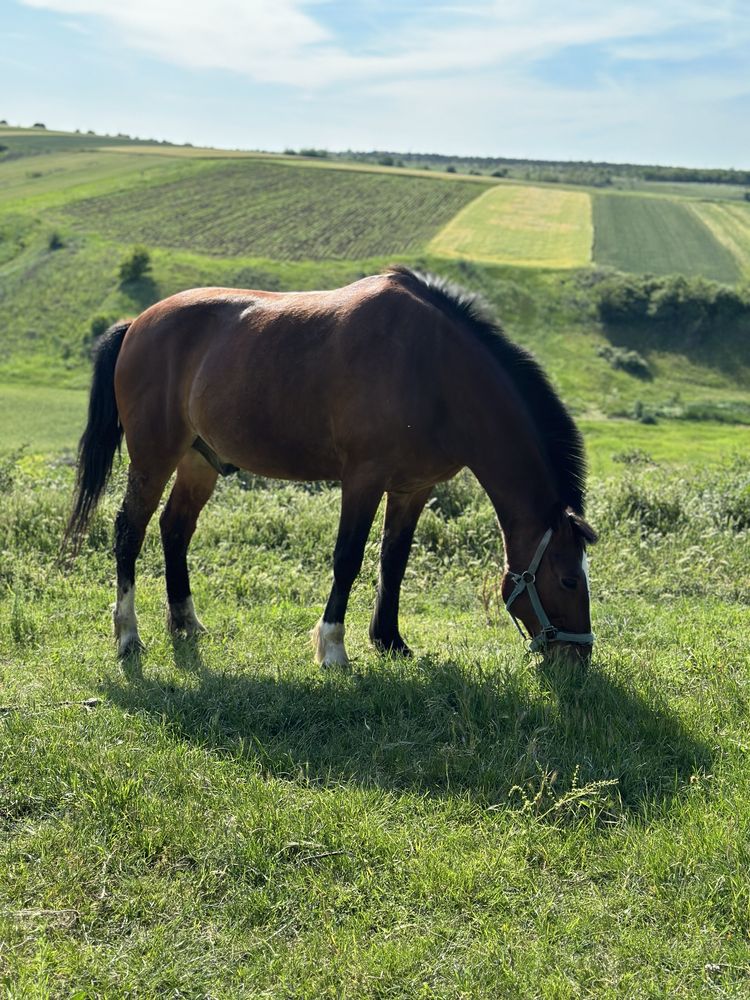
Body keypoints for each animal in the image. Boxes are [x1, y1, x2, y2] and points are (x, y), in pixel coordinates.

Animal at [66, 268, 600, 664]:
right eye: (569, 581)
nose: (577, 660)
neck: (432, 369)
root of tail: (137, 323)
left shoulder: (413, 488)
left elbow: (393, 560)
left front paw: (390, 641)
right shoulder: (362, 479)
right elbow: (349, 558)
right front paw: (333, 647)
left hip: (200, 461)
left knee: (175, 529)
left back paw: (186, 623)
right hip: (153, 455)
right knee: (129, 531)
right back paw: (128, 636)